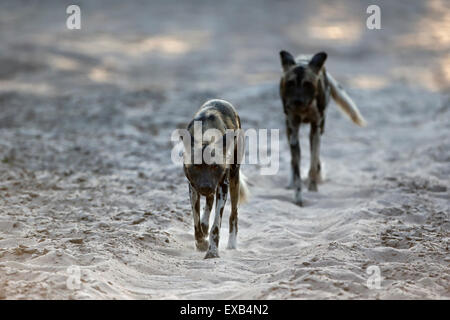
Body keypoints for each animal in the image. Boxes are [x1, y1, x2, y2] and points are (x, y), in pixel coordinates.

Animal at [182, 99, 250, 258]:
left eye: (214, 167)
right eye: (196, 166)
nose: (206, 186)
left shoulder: (222, 187)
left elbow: (216, 226)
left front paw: (212, 251)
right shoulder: (193, 188)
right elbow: (196, 220)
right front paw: (201, 242)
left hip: (234, 179)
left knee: (233, 215)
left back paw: (232, 244)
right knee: (209, 202)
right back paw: (205, 225)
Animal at [280, 50, 368, 205]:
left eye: (307, 84)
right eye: (290, 83)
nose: (297, 102)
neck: (305, 109)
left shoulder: (315, 129)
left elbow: (313, 162)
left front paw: (312, 187)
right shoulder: (294, 133)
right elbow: (296, 169)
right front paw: (298, 196)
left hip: (319, 130)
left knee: (316, 159)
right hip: (289, 130)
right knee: (293, 160)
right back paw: (291, 182)